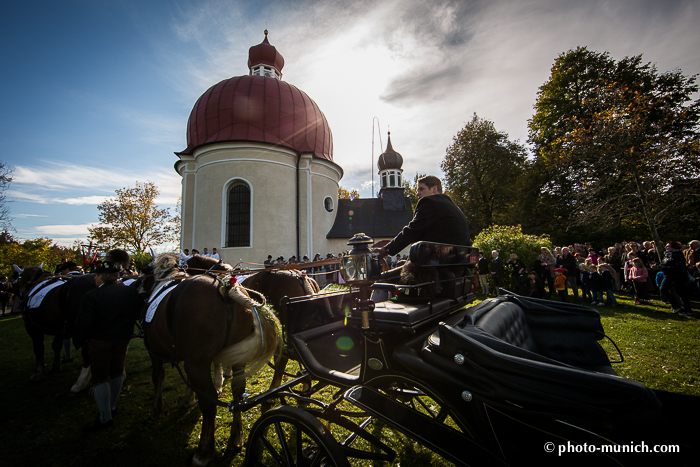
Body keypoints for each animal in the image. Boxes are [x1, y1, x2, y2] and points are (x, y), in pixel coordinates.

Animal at [144, 256, 280, 467]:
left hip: (196, 362)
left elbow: (158, 377)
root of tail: (227, 289)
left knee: (208, 401)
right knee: (238, 392)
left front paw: (158, 410)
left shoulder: (157, 352)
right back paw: (236, 438)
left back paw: (204, 451)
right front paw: (192, 397)